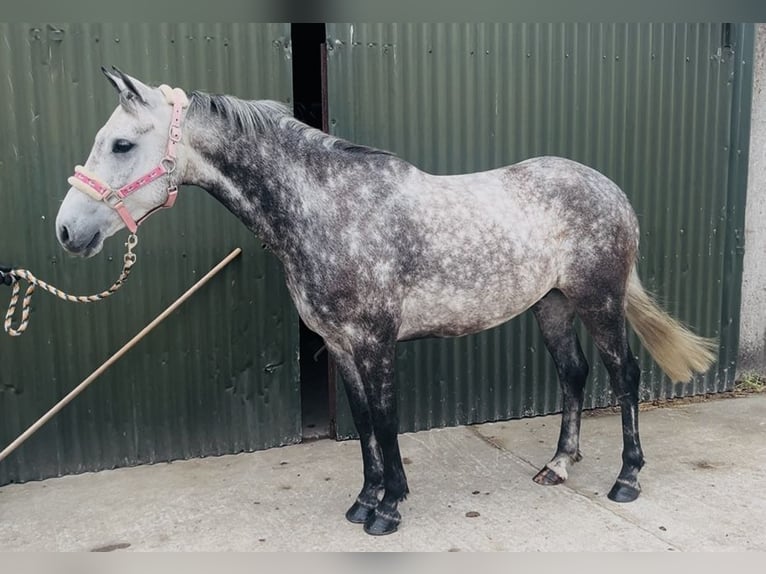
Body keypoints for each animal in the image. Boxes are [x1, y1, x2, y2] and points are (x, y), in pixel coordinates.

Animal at [54, 67, 716, 536]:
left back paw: (626, 479)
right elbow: (364, 421)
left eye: (120, 144)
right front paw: (364, 501)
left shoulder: (375, 341)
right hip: (551, 305)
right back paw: (558, 466)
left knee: (624, 376)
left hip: (598, 302)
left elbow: (387, 417)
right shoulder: (341, 345)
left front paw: (390, 509)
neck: (327, 207)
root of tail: (611, 191)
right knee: (574, 376)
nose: (66, 231)